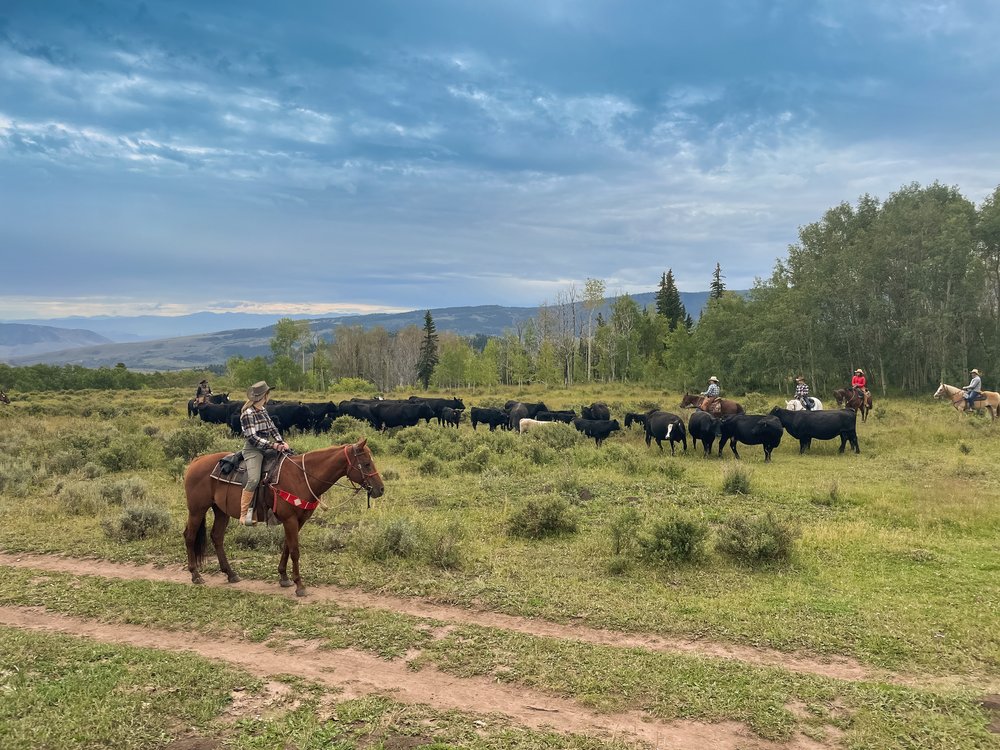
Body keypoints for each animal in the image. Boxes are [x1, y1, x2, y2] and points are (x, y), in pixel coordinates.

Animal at [182, 438, 384, 596]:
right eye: (367, 464)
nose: (380, 489)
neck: (301, 477)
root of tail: (196, 461)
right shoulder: (289, 519)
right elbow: (295, 550)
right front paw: (299, 586)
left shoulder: (298, 520)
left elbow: (287, 546)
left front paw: (284, 577)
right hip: (197, 510)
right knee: (190, 536)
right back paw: (196, 575)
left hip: (221, 511)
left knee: (217, 537)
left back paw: (230, 574)